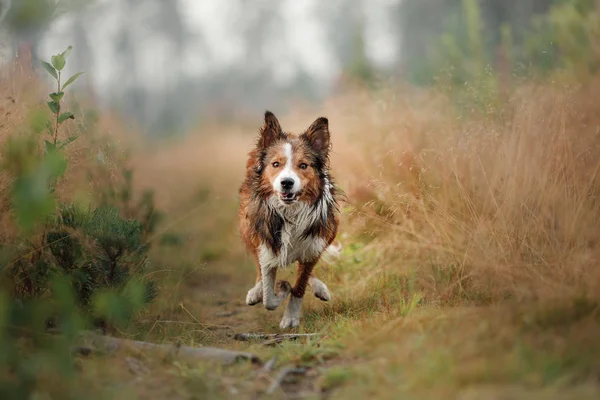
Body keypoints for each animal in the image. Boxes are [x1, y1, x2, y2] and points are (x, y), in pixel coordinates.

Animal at [239, 110, 342, 328]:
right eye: (275, 164)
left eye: (303, 165)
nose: (287, 183)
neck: (290, 213)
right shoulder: (268, 244)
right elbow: (268, 297)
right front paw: (280, 288)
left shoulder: (314, 243)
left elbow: (300, 285)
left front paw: (290, 317)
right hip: (247, 227)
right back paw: (256, 290)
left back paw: (319, 287)